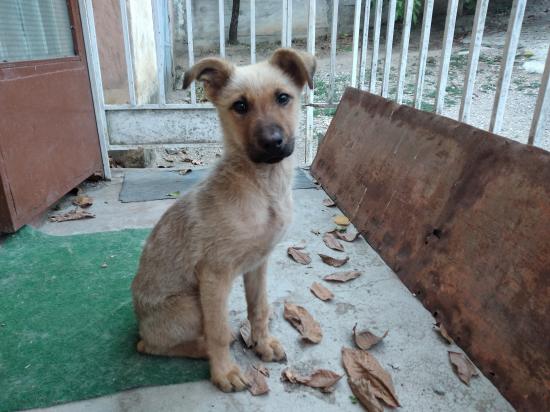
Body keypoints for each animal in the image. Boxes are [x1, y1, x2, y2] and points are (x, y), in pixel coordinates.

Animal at [131, 49, 316, 392]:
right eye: (240, 106)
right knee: (149, 346)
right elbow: (217, 330)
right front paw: (225, 372)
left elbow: (259, 308)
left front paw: (262, 344)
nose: (273, 142)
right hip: (191, 305)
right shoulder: (214, 275)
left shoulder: (258, 263)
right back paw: (200, 348)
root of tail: (141, 324)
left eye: (283, 97)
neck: (263, 188)